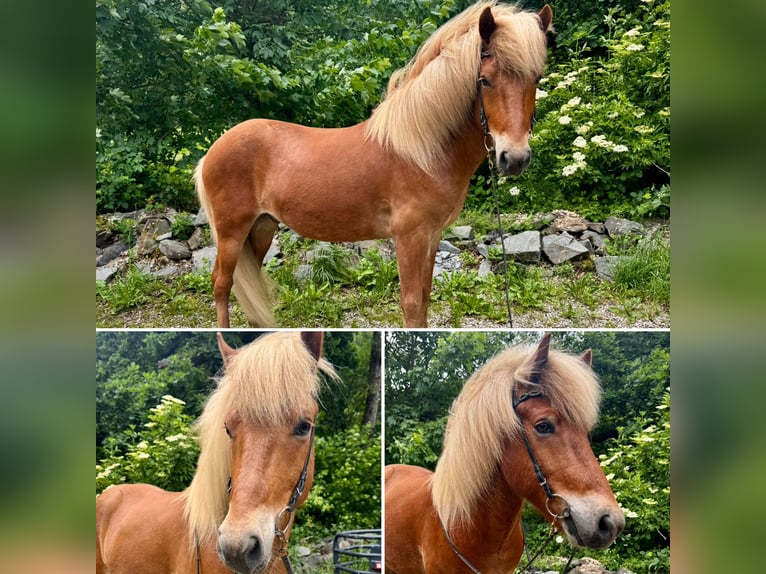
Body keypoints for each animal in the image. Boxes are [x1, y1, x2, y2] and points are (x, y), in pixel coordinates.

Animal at [194, 1, 553, 327]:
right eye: (485, 81)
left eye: (536, 78)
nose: (514, 158)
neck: (422, 151)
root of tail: (211, 152)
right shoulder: (409, 238)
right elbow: (411, 304)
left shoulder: (432, 236)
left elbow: (424, 299)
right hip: (232, 232)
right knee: (222, 284)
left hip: (262, 227)